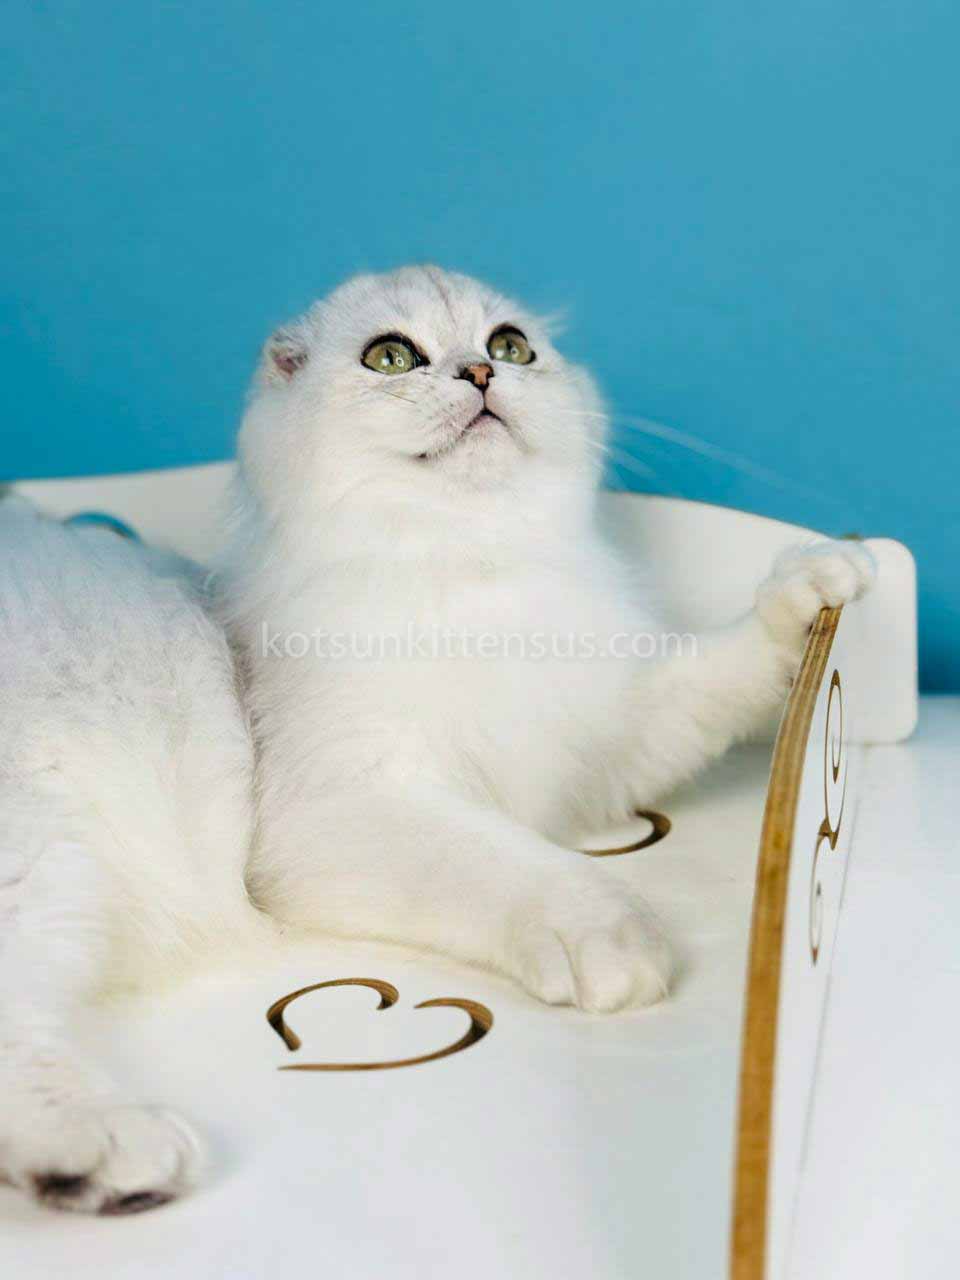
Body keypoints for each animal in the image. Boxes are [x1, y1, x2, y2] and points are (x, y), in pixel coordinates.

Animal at [218, 264, 874, 1017]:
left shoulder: (607, 735)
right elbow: (498, 862)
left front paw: (817, 585)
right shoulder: (340, 804)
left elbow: (723, 667)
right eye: (390, 357)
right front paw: (609, 938)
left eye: (510, 346)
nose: (479, 372)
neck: (473, 567)